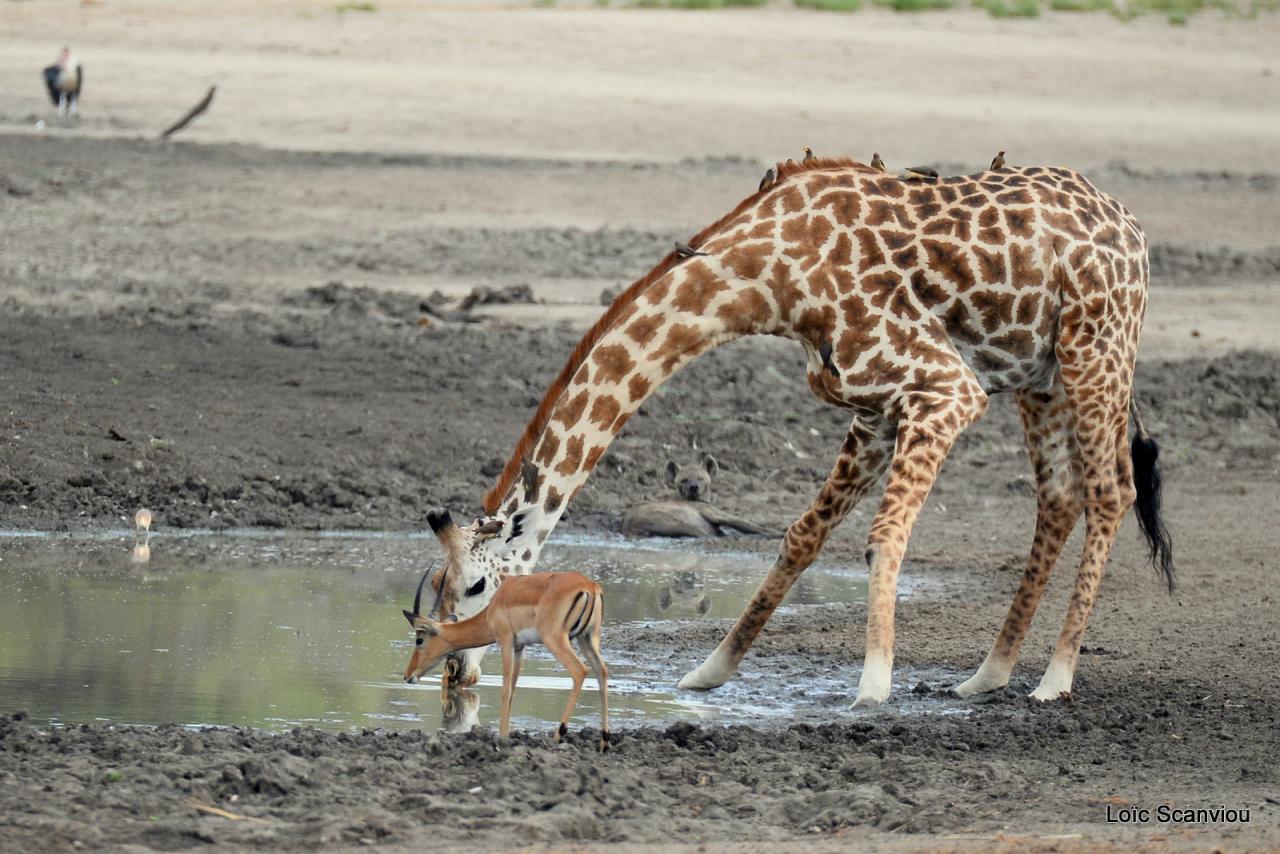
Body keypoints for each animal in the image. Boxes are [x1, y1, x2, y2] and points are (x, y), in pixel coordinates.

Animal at [424, 156, 1172, 706]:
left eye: (477, 588)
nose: (454, 671)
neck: (768, 279)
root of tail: (1134, 226)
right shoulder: (875, 406)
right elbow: (803, 535)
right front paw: (709, 671)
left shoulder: (945, 389)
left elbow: (884, 536)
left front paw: (873, 686)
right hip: (1040, 376)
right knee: (1061, 496)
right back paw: (987, 674)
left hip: (1096, 351)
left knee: (1111, 491)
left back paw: (1054, 679)